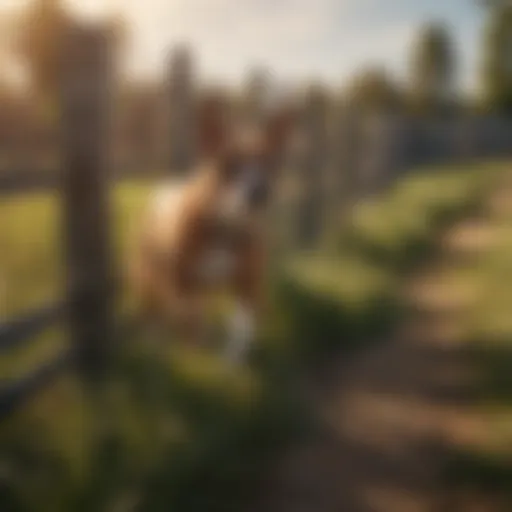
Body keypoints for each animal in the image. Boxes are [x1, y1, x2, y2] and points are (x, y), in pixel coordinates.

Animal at [130, 94, 294, 362]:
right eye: (230, 163)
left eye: (270, 163)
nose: (260, 188)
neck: (226, 226)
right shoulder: (182, 286)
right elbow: (189, 325)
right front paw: (192, 357)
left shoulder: (248, 284)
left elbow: (242, 329)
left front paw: (232, 360)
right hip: (146, 278)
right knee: (155, 314)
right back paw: (153, 342)